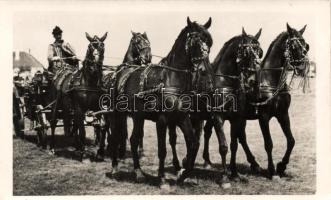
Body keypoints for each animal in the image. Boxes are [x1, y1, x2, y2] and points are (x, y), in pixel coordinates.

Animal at [96, 30, 153, 160]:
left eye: (148, 41)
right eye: (137, 41)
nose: (148, 57)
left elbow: (138, 131)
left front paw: (140, 151)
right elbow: (120, 130)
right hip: (108, 111)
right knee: (105, 127)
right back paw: (103, 149)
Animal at [107, 17, 214, 186]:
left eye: (209, 43)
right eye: (196, 41)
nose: (205, 73)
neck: (170, 78)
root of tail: (119, 72)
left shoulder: (181, 117)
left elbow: (193, 143)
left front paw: (183, 174)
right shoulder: (162, 120)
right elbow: (162, 149)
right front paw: (162, 178)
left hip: (138, 116)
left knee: (133, 139)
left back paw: (138, 172)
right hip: (116, 115)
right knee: (115, 138)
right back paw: (116, 169)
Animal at [204, 23, 310, 178]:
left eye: (306, 45)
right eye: (294, 45)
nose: (303, 67)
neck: (270, 80)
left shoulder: (283, 114)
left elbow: (291, 141)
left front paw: (282, 166)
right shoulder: (263, 117)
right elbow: (269, 143)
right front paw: (272, 170)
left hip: (240, 118)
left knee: (241, 137)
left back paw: (254, 164)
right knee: (208, 131)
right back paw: (207, 161)